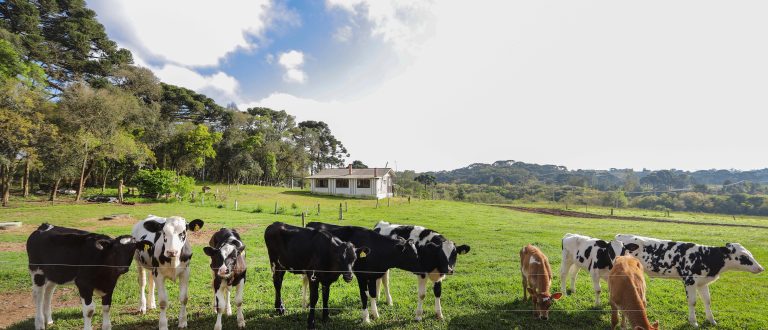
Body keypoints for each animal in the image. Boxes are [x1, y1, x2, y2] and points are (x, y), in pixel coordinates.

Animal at [616, 233, 764, 326]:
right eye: (744, 256)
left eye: (750, 254)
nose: (761, 268)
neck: (705, 256)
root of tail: (621, 235)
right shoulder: (690, 281)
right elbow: (693, 302)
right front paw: (693, 322)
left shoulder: (703, 283)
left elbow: (707, 301)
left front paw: (711, 320)